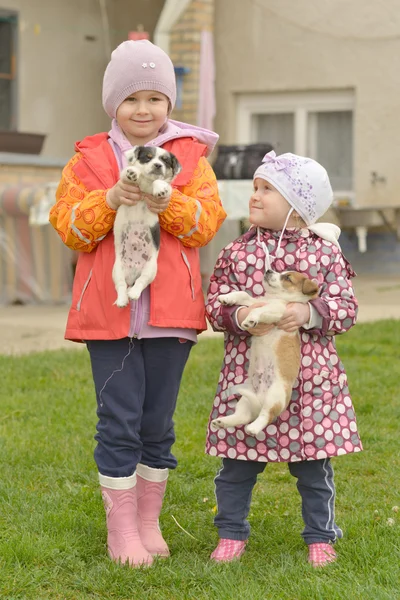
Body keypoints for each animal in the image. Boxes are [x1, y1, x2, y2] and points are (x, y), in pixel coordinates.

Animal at [112, 144, 181, 304]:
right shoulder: (123, 179)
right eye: (148, 157)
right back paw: (122, 300)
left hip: (151, 269)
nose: (157, 165)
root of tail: (133, 272)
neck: (146, 186)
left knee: (140, 282)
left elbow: (161, 183)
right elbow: (128, 173)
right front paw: (133, 172)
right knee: (121, 286)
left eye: (165, 161)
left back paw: (133, 294)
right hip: (117, 269)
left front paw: (159, 188)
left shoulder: (167, 187)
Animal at [212, 272, 318, 436]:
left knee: (267, 415)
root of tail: (261, 400)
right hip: (246, 400)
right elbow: (243, 295)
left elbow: (258, 311)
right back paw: (222, 422)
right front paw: (226, 297)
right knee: (243, 416)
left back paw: (253, 428)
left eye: (287, 278)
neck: (273, 299)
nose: (268, 271)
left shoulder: (276, 312)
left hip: (274, 396)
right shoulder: (255, 302)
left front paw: (250, 319)